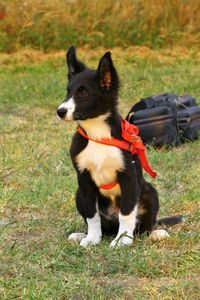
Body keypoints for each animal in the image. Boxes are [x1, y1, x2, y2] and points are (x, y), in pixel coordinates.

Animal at [57, 47, 182, 247]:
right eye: (68, 92)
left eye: (83, 93)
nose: (60, 111)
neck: (98, 134)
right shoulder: (84, 179)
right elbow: (92, 216)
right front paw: (92, 238)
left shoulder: (128, 176)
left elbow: (127, 213)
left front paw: (122, 240)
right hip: (78, 194)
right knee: (105, 226)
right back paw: (81, 234)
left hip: (150, 192)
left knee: (144, 227)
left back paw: (155, 233)